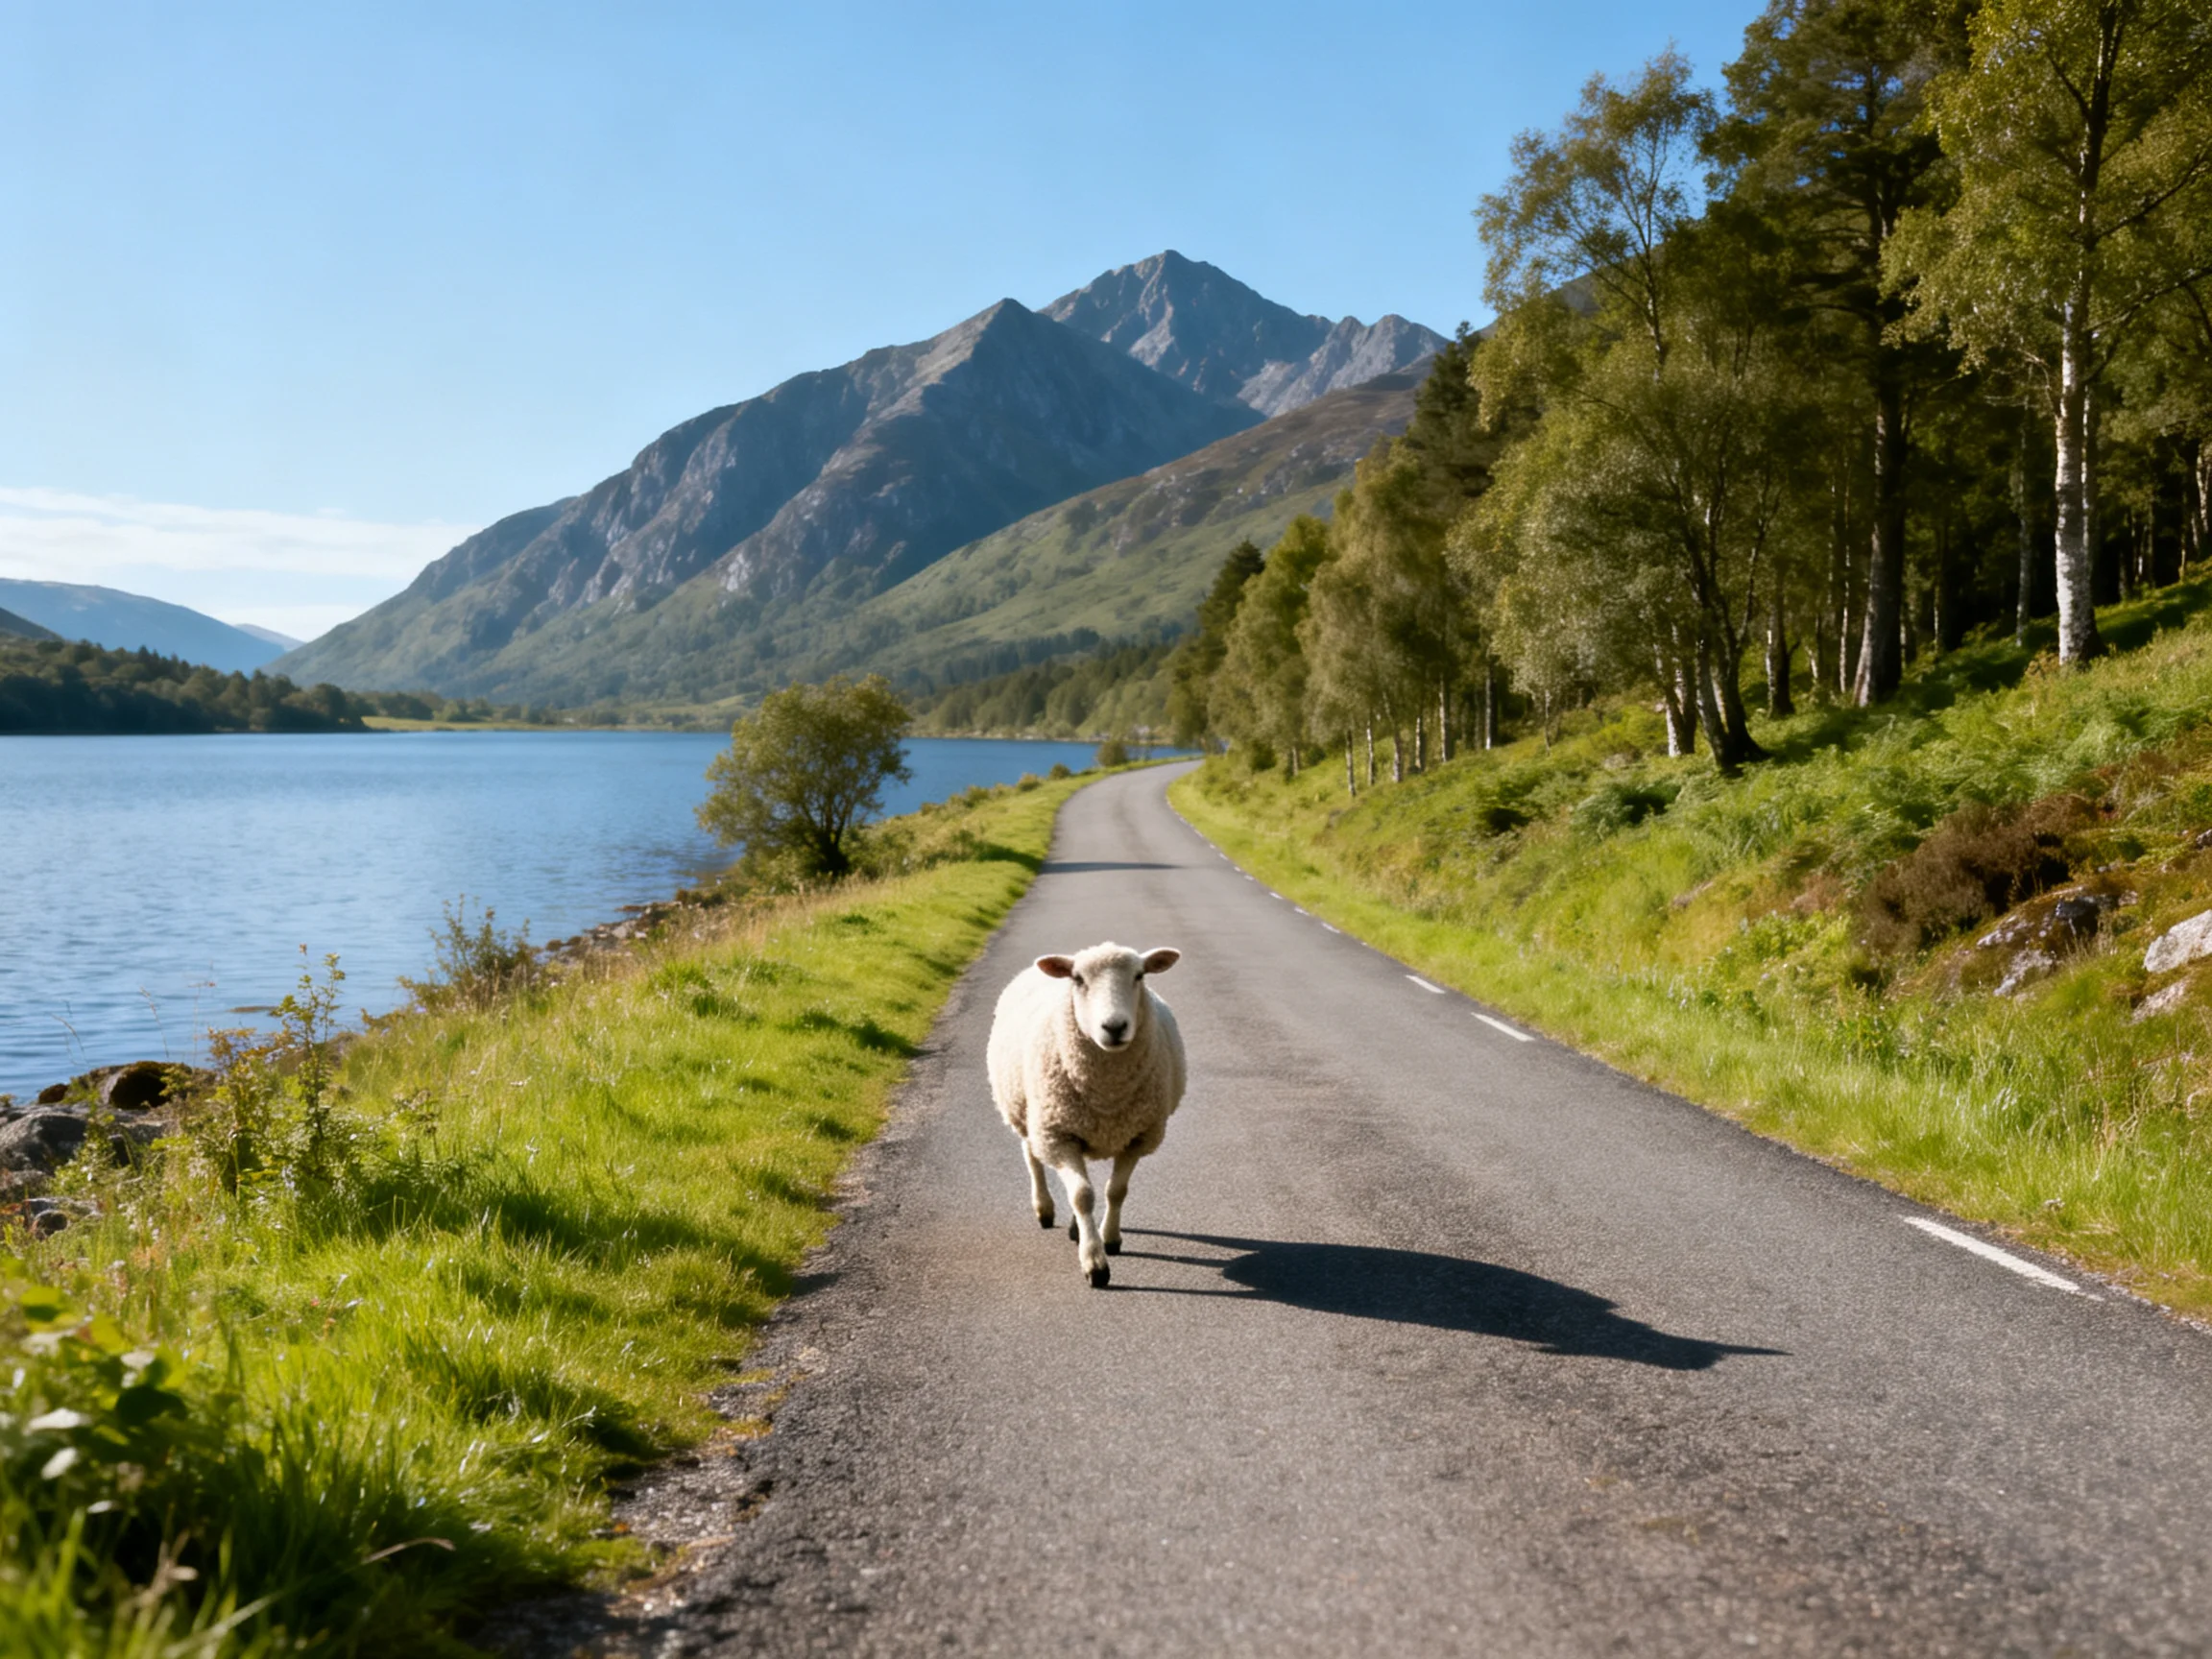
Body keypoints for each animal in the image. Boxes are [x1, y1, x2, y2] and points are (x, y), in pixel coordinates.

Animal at [986, 941, 1186, 1287]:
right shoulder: (1059, 1136)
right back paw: (1044, 1209)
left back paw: (1075, 1227)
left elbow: (1115, 1191)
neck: (1107, 1093)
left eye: (1139, 975)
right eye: (1078, 979)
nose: (1114, 1027)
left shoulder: (1138, 1136)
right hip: (1027, 1113)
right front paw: (1095, 1264)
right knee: (1033, 1159)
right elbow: (1082, 1195)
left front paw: (1110, 1239)